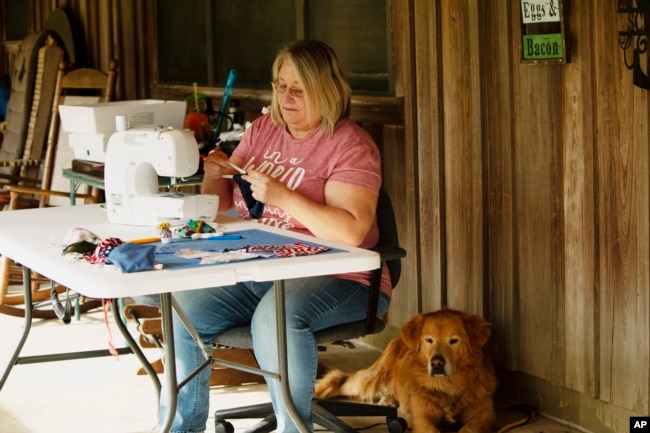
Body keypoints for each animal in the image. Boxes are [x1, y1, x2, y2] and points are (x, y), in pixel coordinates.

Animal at [314, 308, 496, 432]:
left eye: (454, 341)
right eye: (429, 340)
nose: (436, 363)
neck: (449, 385)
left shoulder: (484, 413)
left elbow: (470, 428)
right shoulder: (422, 417)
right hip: (370, 379)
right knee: (341, 378)